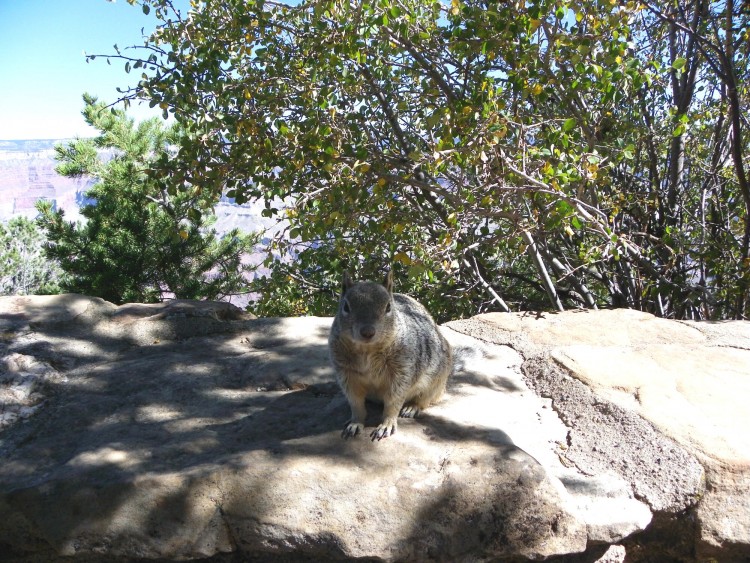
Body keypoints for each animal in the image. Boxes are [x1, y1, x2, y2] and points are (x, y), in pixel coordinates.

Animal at [328, 270, 452, 442]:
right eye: (346, 306)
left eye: (388, 307)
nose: (367, 332)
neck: (367, 351)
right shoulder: (346, 374)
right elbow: (356, 402)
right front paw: (355, 423)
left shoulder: (402, 370)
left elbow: (394, 401)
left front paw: (386, 425)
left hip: (435, 383)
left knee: (425, 400)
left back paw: (412, 408)